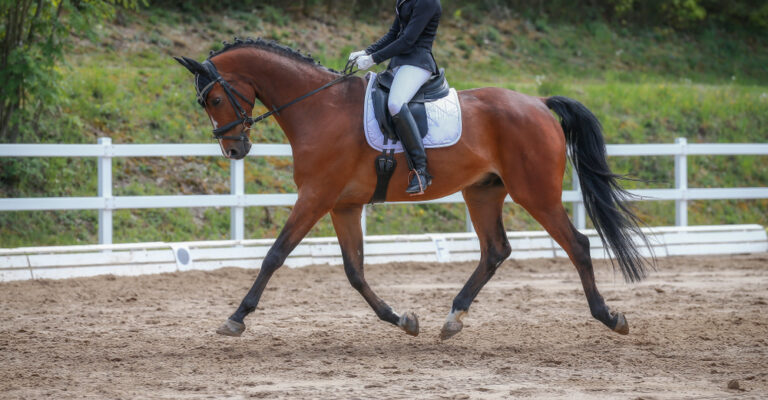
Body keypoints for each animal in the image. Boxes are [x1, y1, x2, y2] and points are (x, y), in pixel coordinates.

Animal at [174, 38, 653, 340]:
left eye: (214, 99)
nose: (234, 149)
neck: (319, 106)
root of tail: (537, 102)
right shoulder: (344, 206)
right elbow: (354, 270)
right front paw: (401, 318)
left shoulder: (315, 196)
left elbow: (274, 255)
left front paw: (236, 318)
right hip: (483, 192)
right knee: (496, 250)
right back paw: (453, 317)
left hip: (535, 193)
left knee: (577, 244)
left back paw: (609, 317)